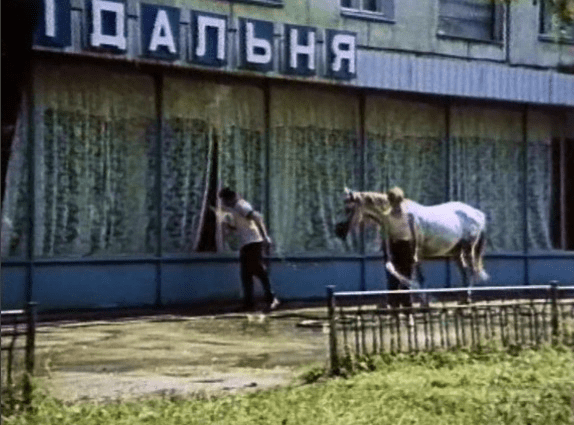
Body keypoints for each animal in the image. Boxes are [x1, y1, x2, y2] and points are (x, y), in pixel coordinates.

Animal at [335, 187, 489, 301]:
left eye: (348, 209)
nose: (338, 231)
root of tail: (478, 214)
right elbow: (395, 271)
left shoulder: (415, 254)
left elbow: (419, 277)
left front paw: (423, 299)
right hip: (456, 252)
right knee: (464, 271)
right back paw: (462, 298)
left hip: (468, 248)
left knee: (471, 270)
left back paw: (467, 298)